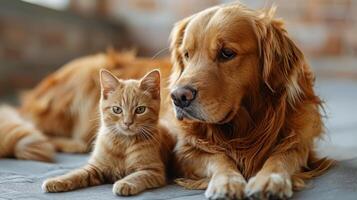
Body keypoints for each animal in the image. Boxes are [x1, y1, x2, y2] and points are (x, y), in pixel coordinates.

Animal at [41, 69, 172, 196]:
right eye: (117, 109)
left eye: (140, 109)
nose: (127, 123)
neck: (124, 142)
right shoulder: (95, 167)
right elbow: (77, 173)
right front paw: (57, 180)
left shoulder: (154, 171)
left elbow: (137, 176)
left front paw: (124, 183)